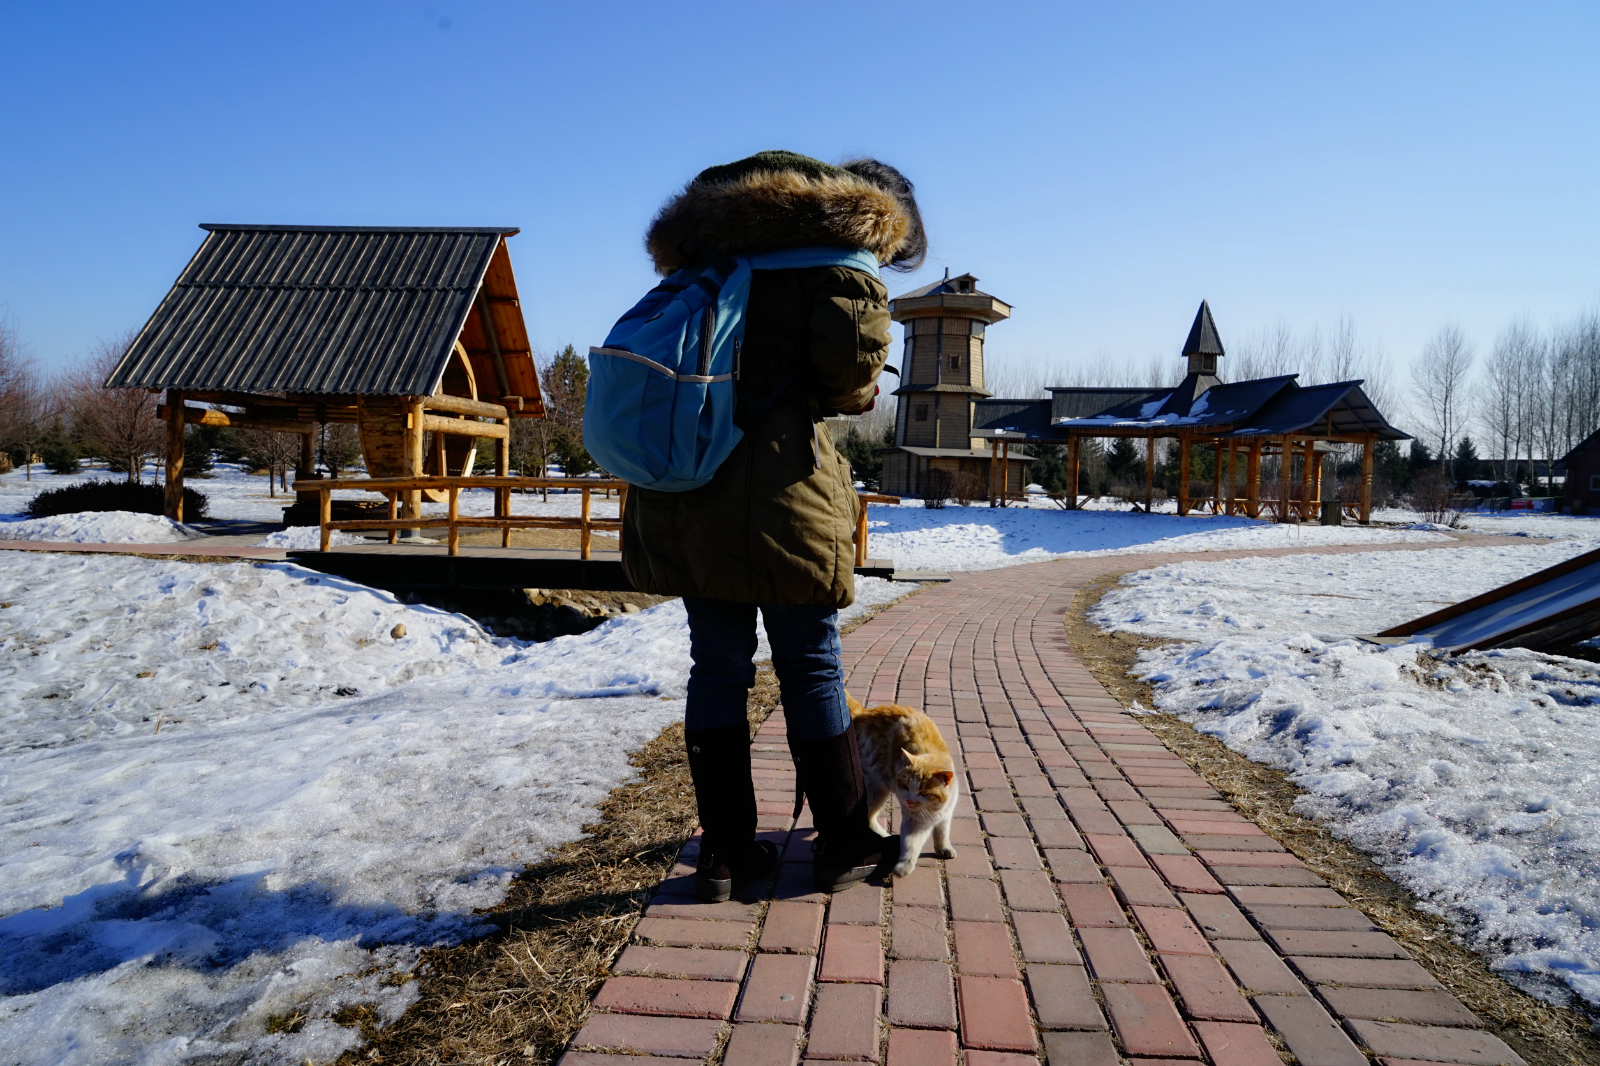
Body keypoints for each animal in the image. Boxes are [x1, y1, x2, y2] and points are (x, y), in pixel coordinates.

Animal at [844, 688, 953, 870]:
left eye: (924, 793)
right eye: (906, 787)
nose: (909, 801)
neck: (934, 810)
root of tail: (863, 712)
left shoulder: (946, 816)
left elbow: (942, 833)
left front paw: (943, 848)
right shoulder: (913, 822)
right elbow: (911, 844)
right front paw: (905, 865)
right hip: (875, 790)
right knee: (869, 818)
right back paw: (883, 837)